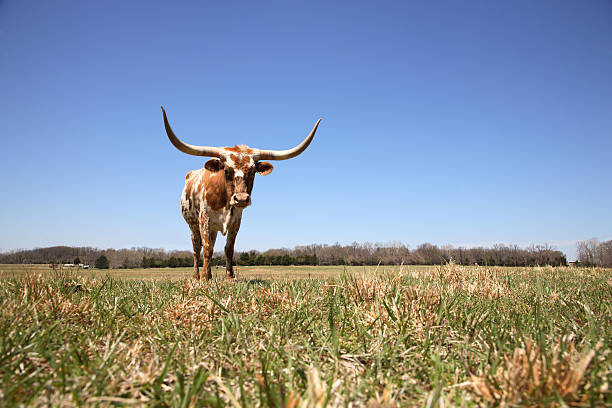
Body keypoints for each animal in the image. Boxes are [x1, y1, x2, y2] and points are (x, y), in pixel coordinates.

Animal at [160, 106, 322, 280]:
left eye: (252, 171)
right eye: (226, 170)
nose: (242, 199)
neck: (225, 201)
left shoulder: (236, 221)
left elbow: (228, 248)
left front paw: (229, 276)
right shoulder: (204, 219)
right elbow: (207, 249)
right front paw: (203, 278)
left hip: (213, 229)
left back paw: (209, 274)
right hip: (192, 225)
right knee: (197, 249)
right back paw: (198, 276)